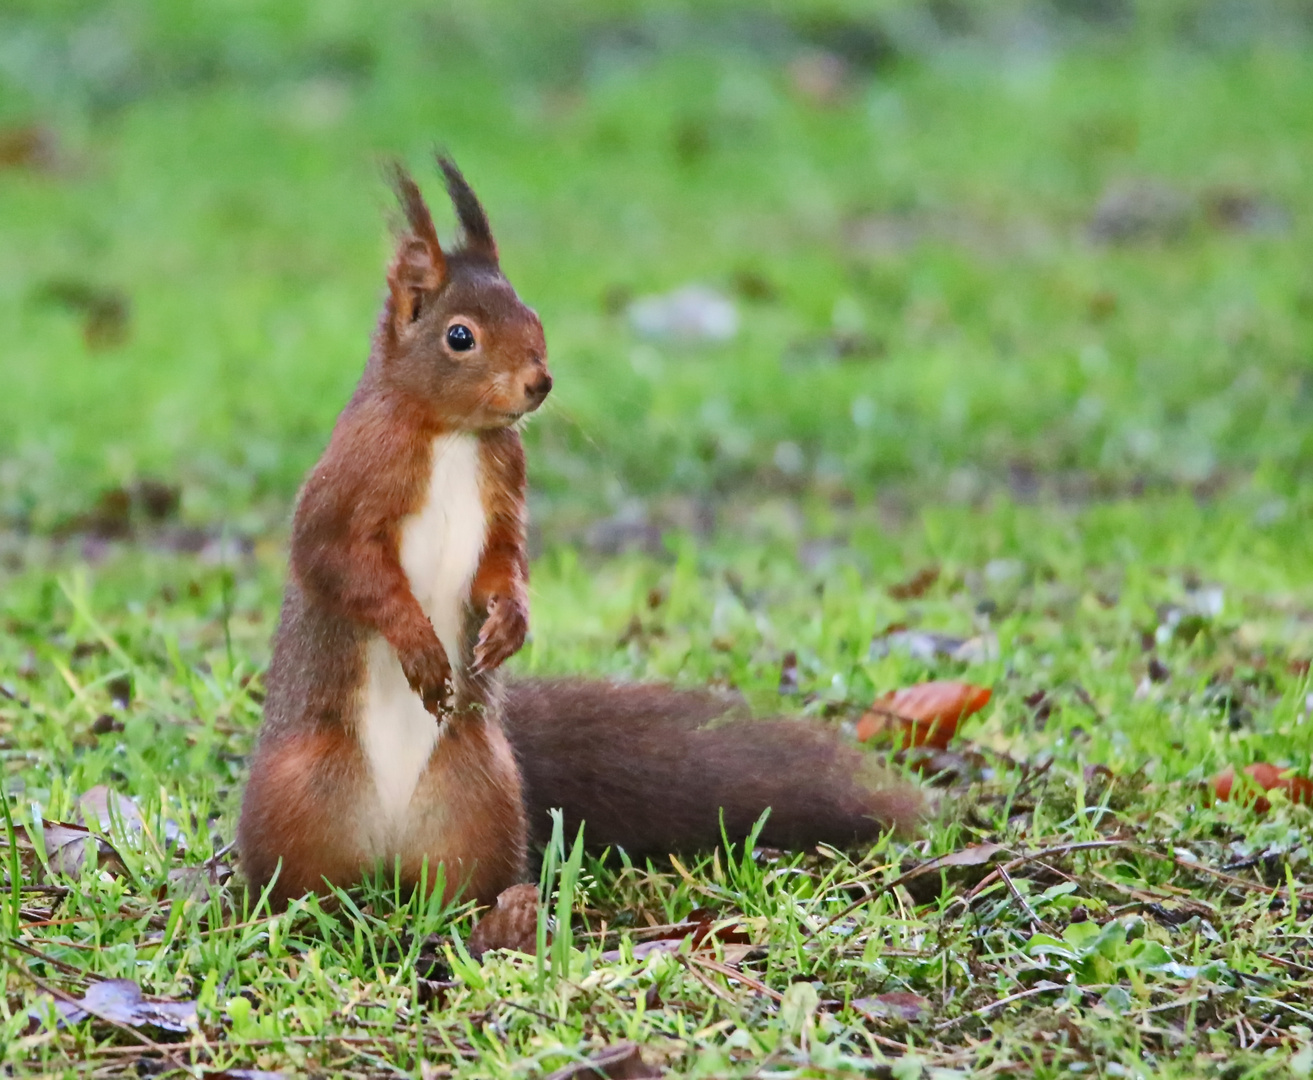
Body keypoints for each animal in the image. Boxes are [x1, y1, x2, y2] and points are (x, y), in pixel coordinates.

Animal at [238, 154, 924, 913]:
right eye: (459, 336)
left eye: (533, 316)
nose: (538, 382)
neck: (451, 434)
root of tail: (384, 852)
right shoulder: (349, 481)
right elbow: (336, 559)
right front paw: (417, 642)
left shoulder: (504, 489)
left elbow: (503, 558)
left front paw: (509, 622)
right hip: (297, 791)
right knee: (296, 886)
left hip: (482, 789)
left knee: (460, 885)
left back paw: (486, 912)